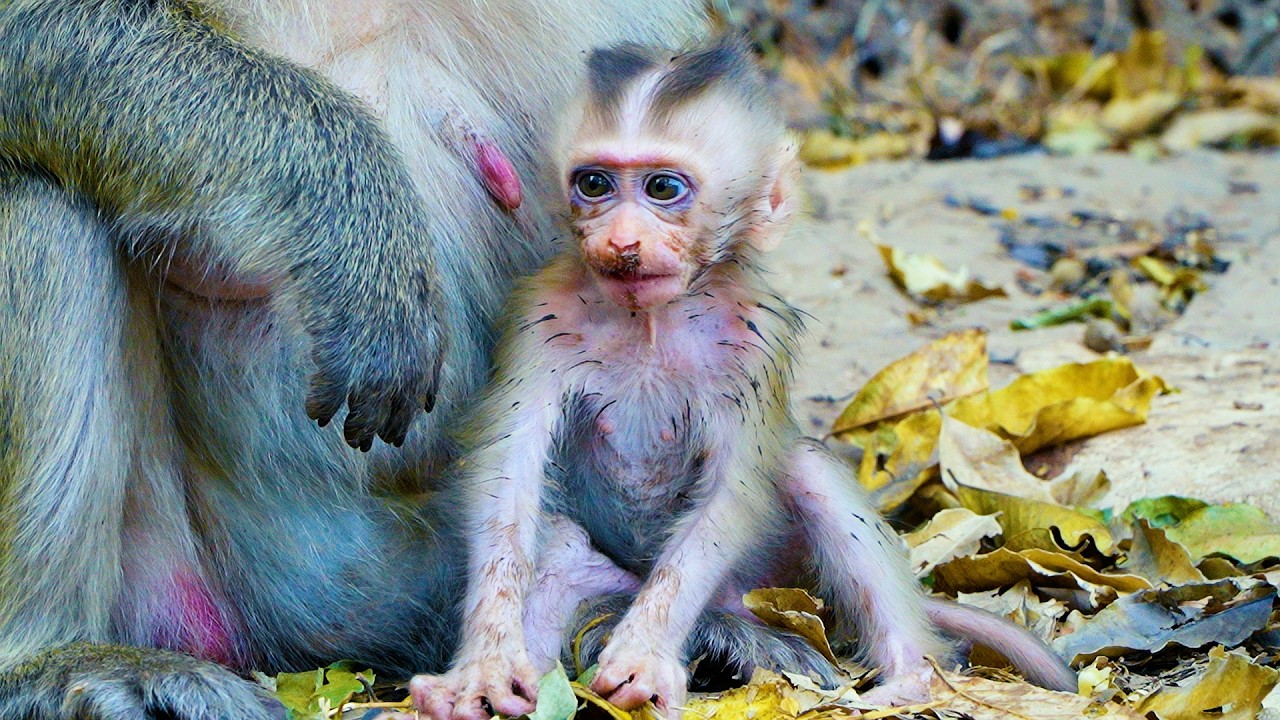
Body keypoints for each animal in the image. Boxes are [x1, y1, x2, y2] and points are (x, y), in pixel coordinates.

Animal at [406, 37, 1078, 720]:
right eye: (594, 184)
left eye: (663, 187)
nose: (620, 240)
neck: (653, 320)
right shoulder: (541, 317)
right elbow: (508, 470)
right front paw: (487, 664)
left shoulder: (757, 342)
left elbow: (734, 485)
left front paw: (644, 651)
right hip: (618, 581)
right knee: (563, 550)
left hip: (765, 576)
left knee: (804, 472)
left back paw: (912, 676)